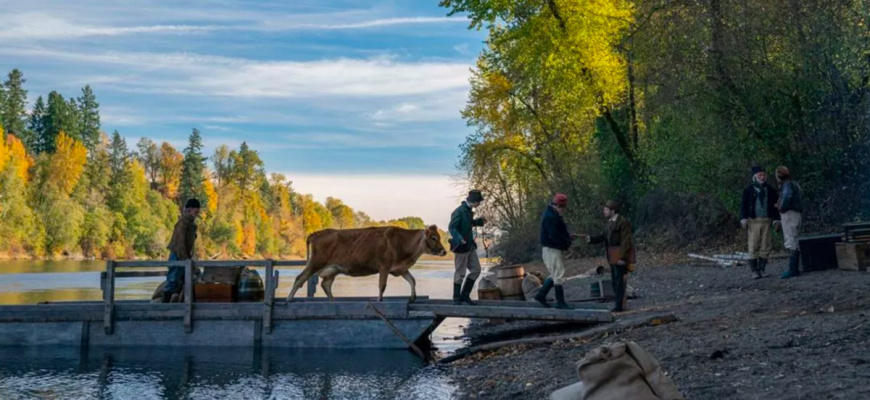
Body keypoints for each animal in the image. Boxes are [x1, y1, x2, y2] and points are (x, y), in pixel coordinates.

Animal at [288, 225, 450, 304]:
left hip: (332, 270)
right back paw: (289, 299)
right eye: (434, 238)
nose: (444, 251)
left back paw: (333, 301)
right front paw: (379, 300)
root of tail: (317, 233)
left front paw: (412, 298)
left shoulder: (401, 268)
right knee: (300, 278)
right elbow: (382, 285)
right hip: (315, 262)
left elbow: (412, 280)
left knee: (325, 285)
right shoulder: (384, 266)